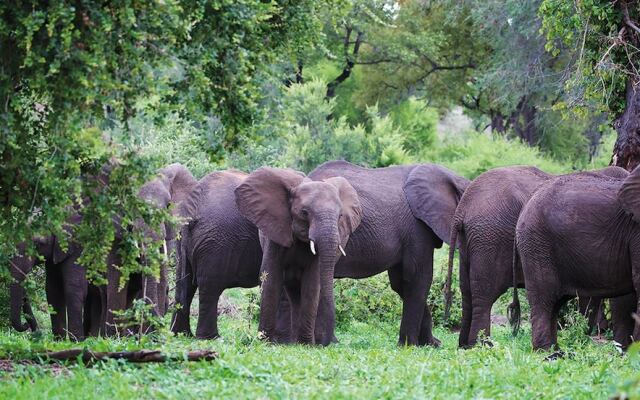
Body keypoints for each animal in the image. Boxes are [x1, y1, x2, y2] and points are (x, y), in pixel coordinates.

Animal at [170, 169, 290, 340]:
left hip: (184, 239)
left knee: (185, 283)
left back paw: (180, 334)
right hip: (216, 240)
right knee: (210, 286)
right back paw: (210, 337)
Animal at [442, 165, 628, 346]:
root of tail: (463, 207)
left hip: (470, 240)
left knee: (467, 292)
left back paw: (465, 345)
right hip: (489, 238)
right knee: (485, 295)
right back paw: (481, 345)